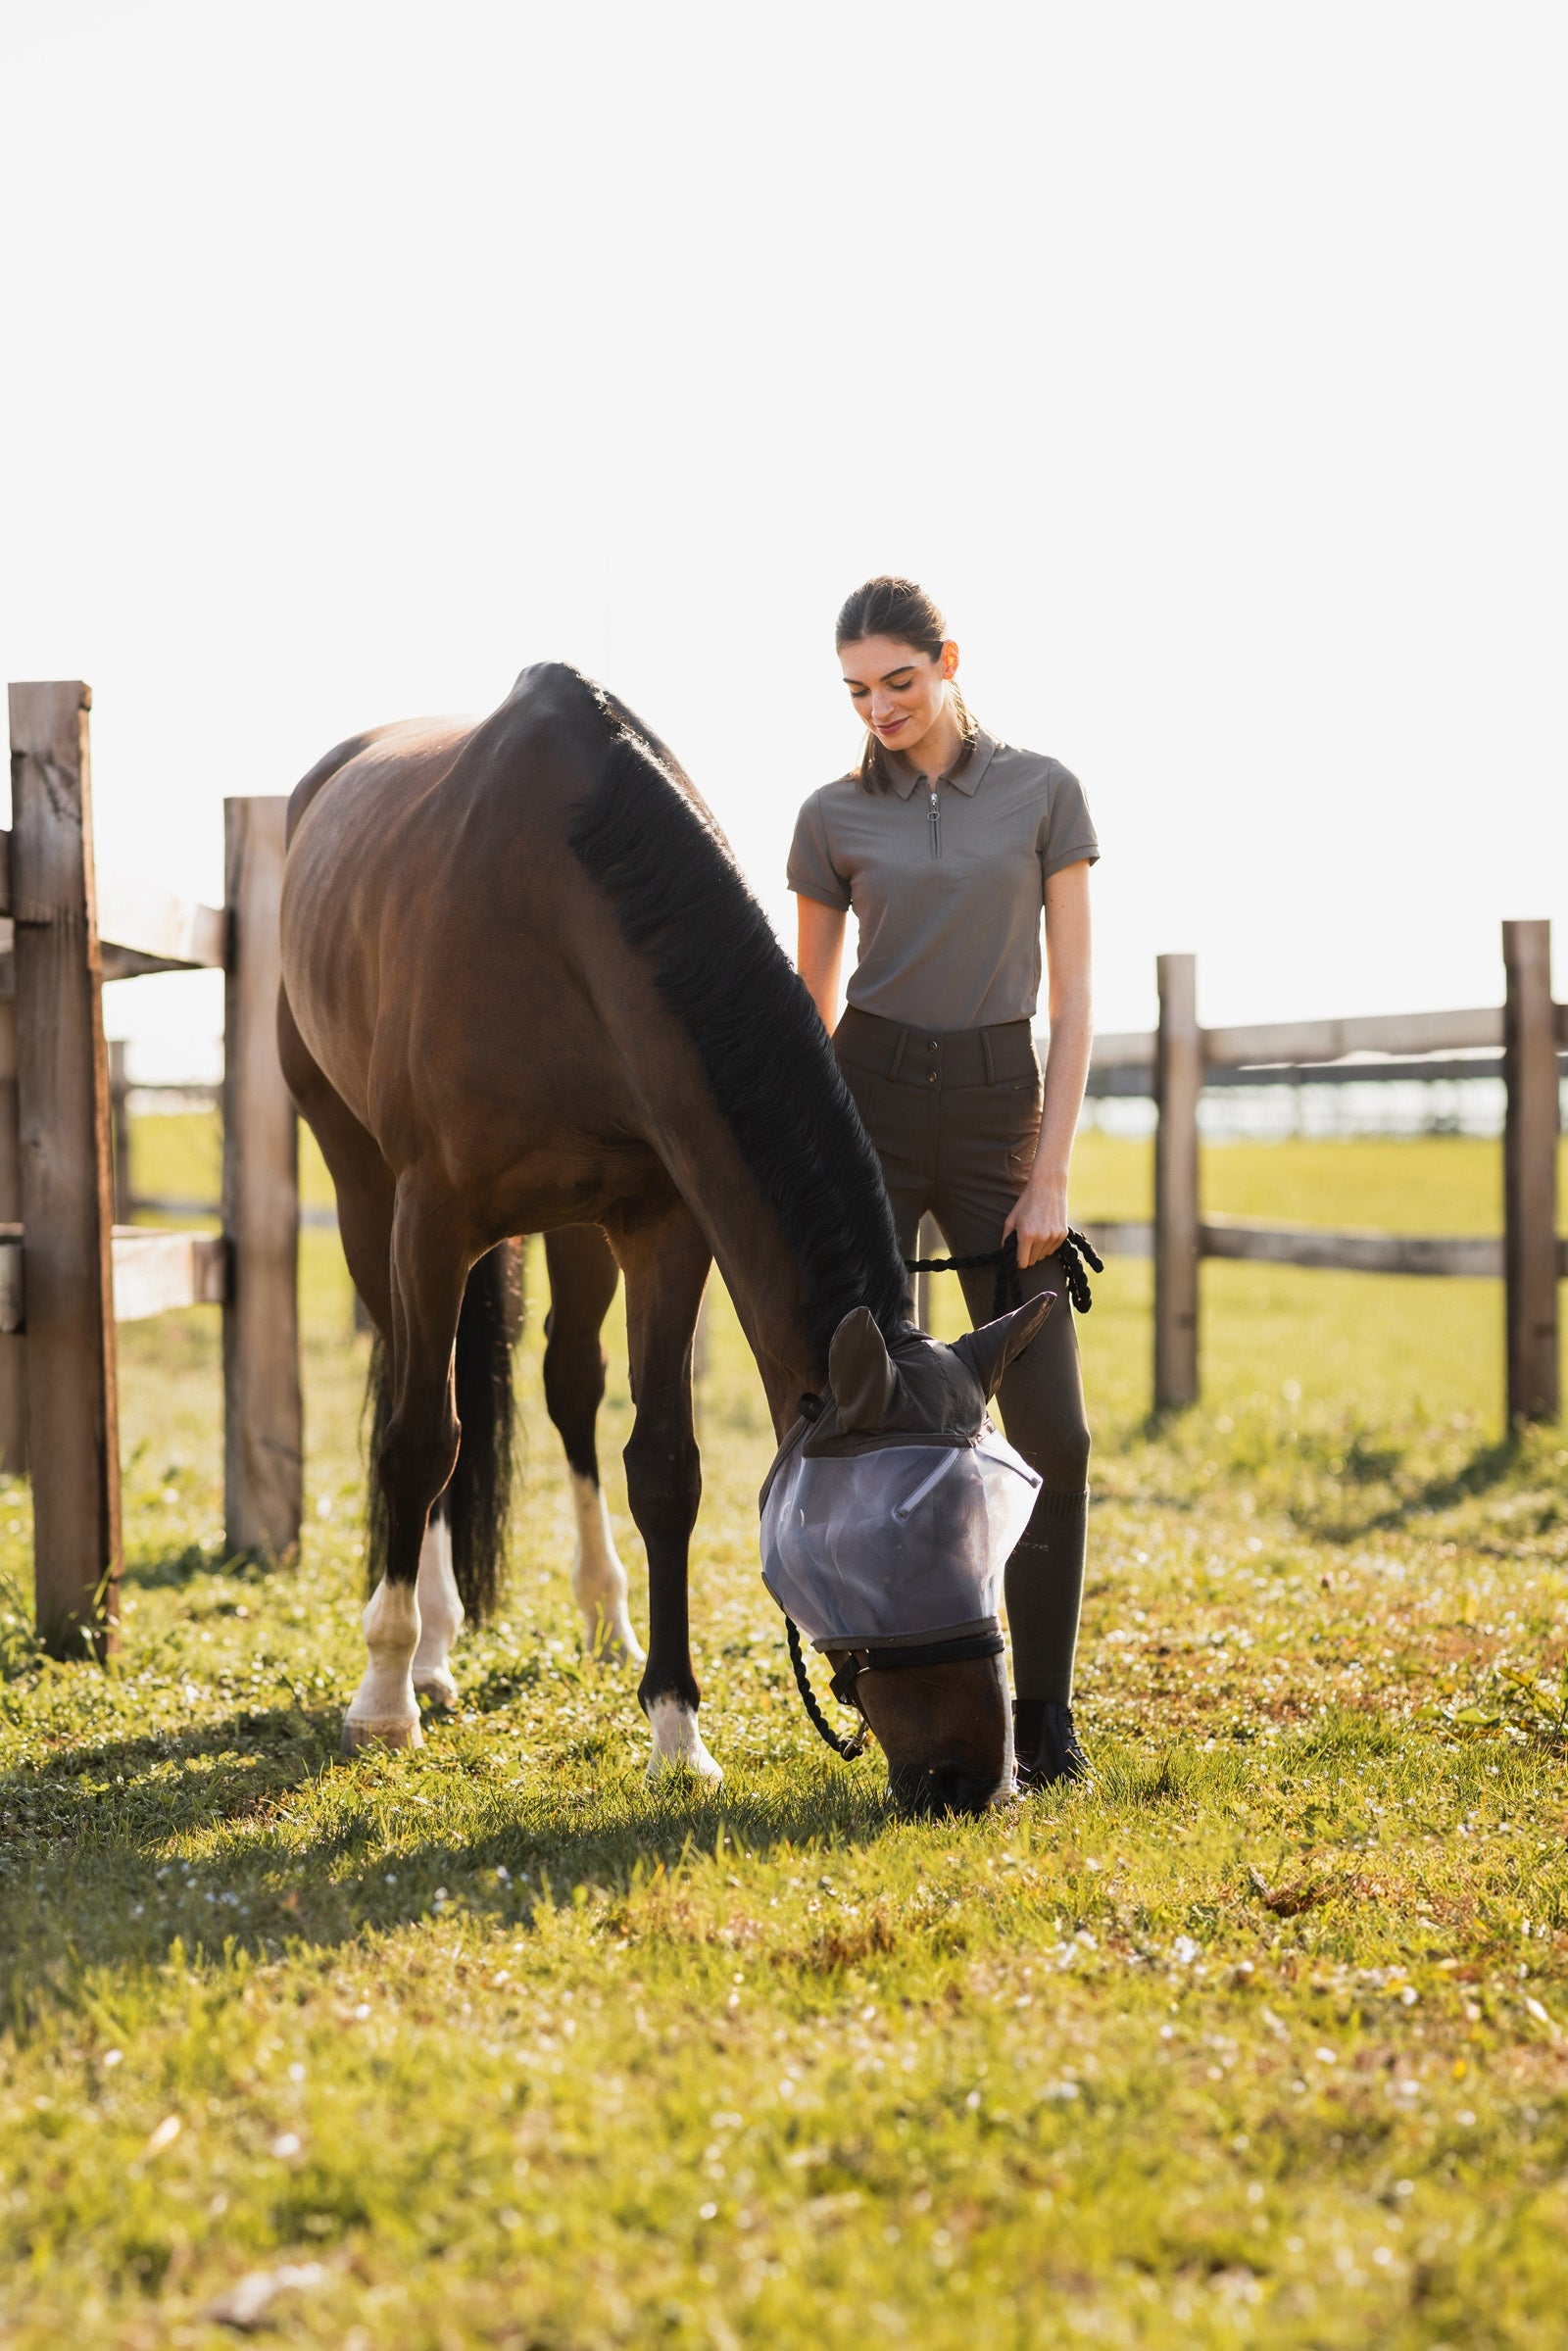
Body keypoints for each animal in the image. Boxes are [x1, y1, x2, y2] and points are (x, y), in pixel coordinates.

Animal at [277, 662, 1048, 1814]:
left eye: (996, 1521)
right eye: (883, 1535)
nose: (972, 1777)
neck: (549, 911)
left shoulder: (663, 1224)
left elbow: (664, 1465)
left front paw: (678, 1729)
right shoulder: (432, 1215)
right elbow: (420, 1436)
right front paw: (382, 1698)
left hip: (576, 1232)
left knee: (568, 1383)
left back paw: (601, 1614)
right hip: (366, 1189)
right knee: (418, 1397)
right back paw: (427, 1650)